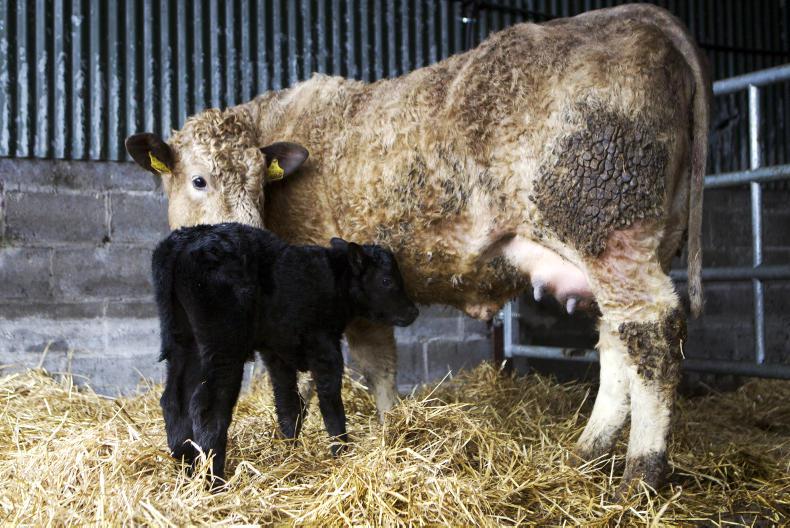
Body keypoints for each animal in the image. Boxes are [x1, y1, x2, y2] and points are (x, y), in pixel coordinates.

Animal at [152, 222, 419, 483]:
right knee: (207, 406)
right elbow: (329, 399)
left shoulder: (276, 352)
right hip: (223, 346)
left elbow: (289, 402)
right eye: (387, 280)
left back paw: (185, 465)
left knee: (174, 399)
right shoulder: (323, 344)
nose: (413, 311)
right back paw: (214, 479)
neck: (333, 278)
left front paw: (290, 452)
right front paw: (340, 451)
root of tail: (183, 242)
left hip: (184, 343)